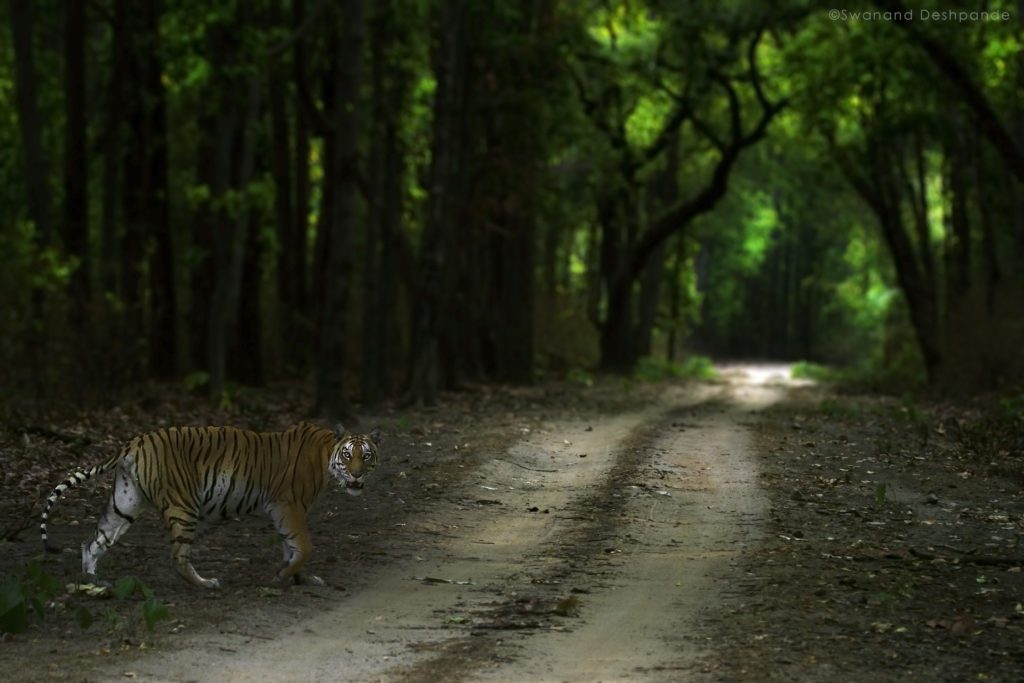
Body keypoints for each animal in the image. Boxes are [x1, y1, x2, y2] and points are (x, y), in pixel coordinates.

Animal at [37, 419, 380, 589]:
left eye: (367, 456)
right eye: (348, 455)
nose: (356, 475)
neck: (326, 456)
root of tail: (133, 442)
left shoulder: (287, 513)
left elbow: (292, 549)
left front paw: (298, 578)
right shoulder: (288, 507)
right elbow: (304, 547)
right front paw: (281, 578)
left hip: (125, 503)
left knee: (92, 542)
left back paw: (93, 581)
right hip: (183, 507)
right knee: (177, 556)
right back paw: (205, 583)